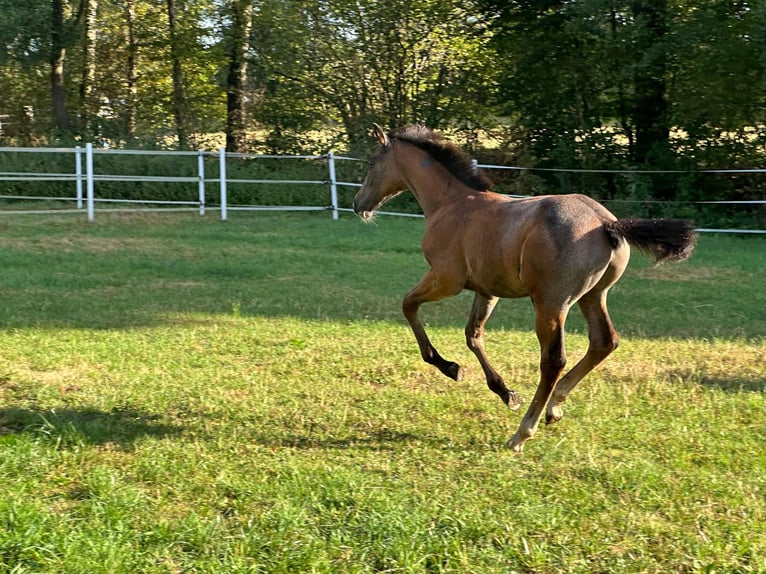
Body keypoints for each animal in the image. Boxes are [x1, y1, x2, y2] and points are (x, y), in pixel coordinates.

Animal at [353, 124, 696, 452]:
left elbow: (408, 305)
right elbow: (473, 335)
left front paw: (449, 367)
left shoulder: (446, 279)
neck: (451, 204)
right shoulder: (487, 289)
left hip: (550, 303)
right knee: (604, 341)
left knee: (554, 360)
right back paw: (554, 407)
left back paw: (522, 432)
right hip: (593, 295)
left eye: (371, 163)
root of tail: (605, 224)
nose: (358, 204)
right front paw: (505, 392)